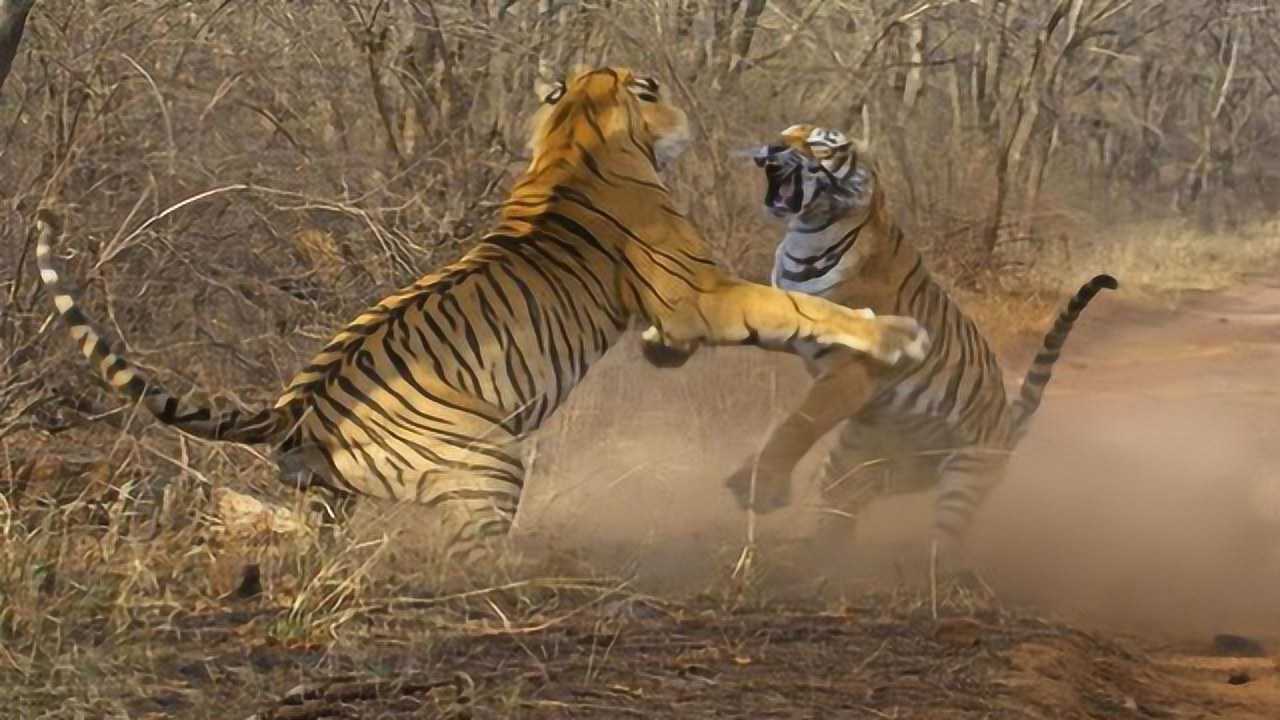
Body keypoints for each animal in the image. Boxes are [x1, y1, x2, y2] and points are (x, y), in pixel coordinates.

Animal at [34, 70, 930, 564]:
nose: (695, 122)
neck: (575, 130)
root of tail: (293, 407)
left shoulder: (676, 310)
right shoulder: (700, 293)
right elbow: (796, 307)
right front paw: (895, 335)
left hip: (332, 499)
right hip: (488, 460)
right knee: (469, 559)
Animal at [645, 123, 1115, 575]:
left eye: (820, 143)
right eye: (786, 131)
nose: (772, 147)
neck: (805, 240)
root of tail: (1007, 425)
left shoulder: (852, 369)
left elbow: (799, 422)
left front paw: (760, 486)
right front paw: (665, 344)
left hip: (963, 478)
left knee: (945, 541)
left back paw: (925, 572)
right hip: (851, 460)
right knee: (840, 514)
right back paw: (819, 562)